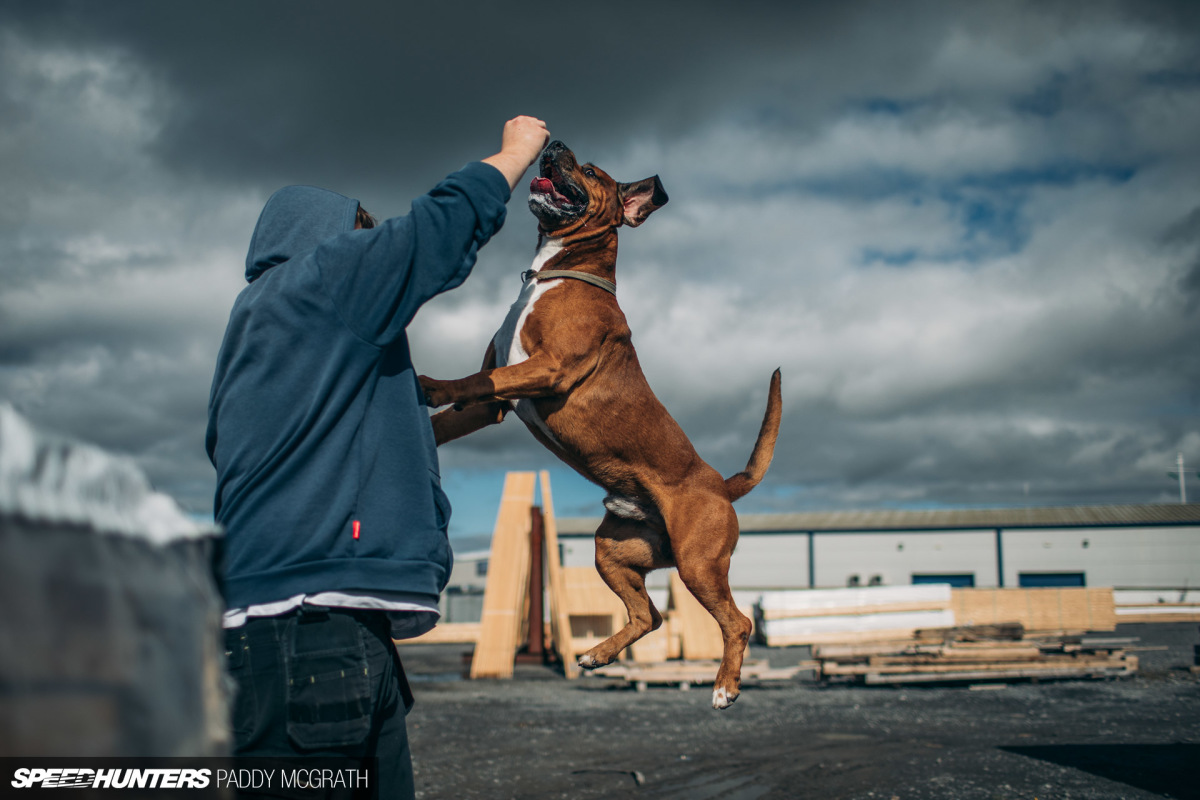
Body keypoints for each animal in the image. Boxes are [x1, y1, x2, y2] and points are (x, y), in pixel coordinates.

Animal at [417, 140, 782, 710]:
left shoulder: (543, 368)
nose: (553, 144)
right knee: (648, 615)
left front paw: (431, 383)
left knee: (737, 622)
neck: (558, 272)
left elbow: (469, 383)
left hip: (698, 564)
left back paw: (724, 686)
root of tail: (723, 487)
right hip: (611, 553)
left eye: (589, 170)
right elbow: (458, 409)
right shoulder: (496, 401)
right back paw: (596, 654)